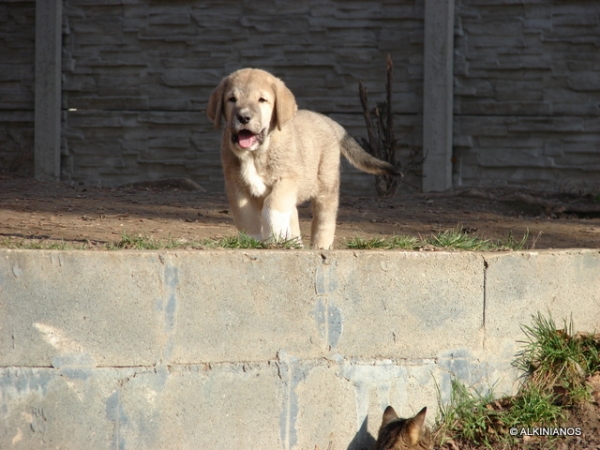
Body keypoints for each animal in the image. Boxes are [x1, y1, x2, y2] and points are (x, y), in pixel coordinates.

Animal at [206, 69, 398, 250]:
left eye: (262, 100)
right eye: (232, 99)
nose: (244, 117)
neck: (255, 154)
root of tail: (326, 120)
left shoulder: (287, 179)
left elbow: (272, 204)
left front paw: (274, 234)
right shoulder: (236, 187)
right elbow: (246, 217)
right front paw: (254, 241)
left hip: (326, 186)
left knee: (324, 219)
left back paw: (320, 246)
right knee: (293, 216)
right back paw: (294, 243)